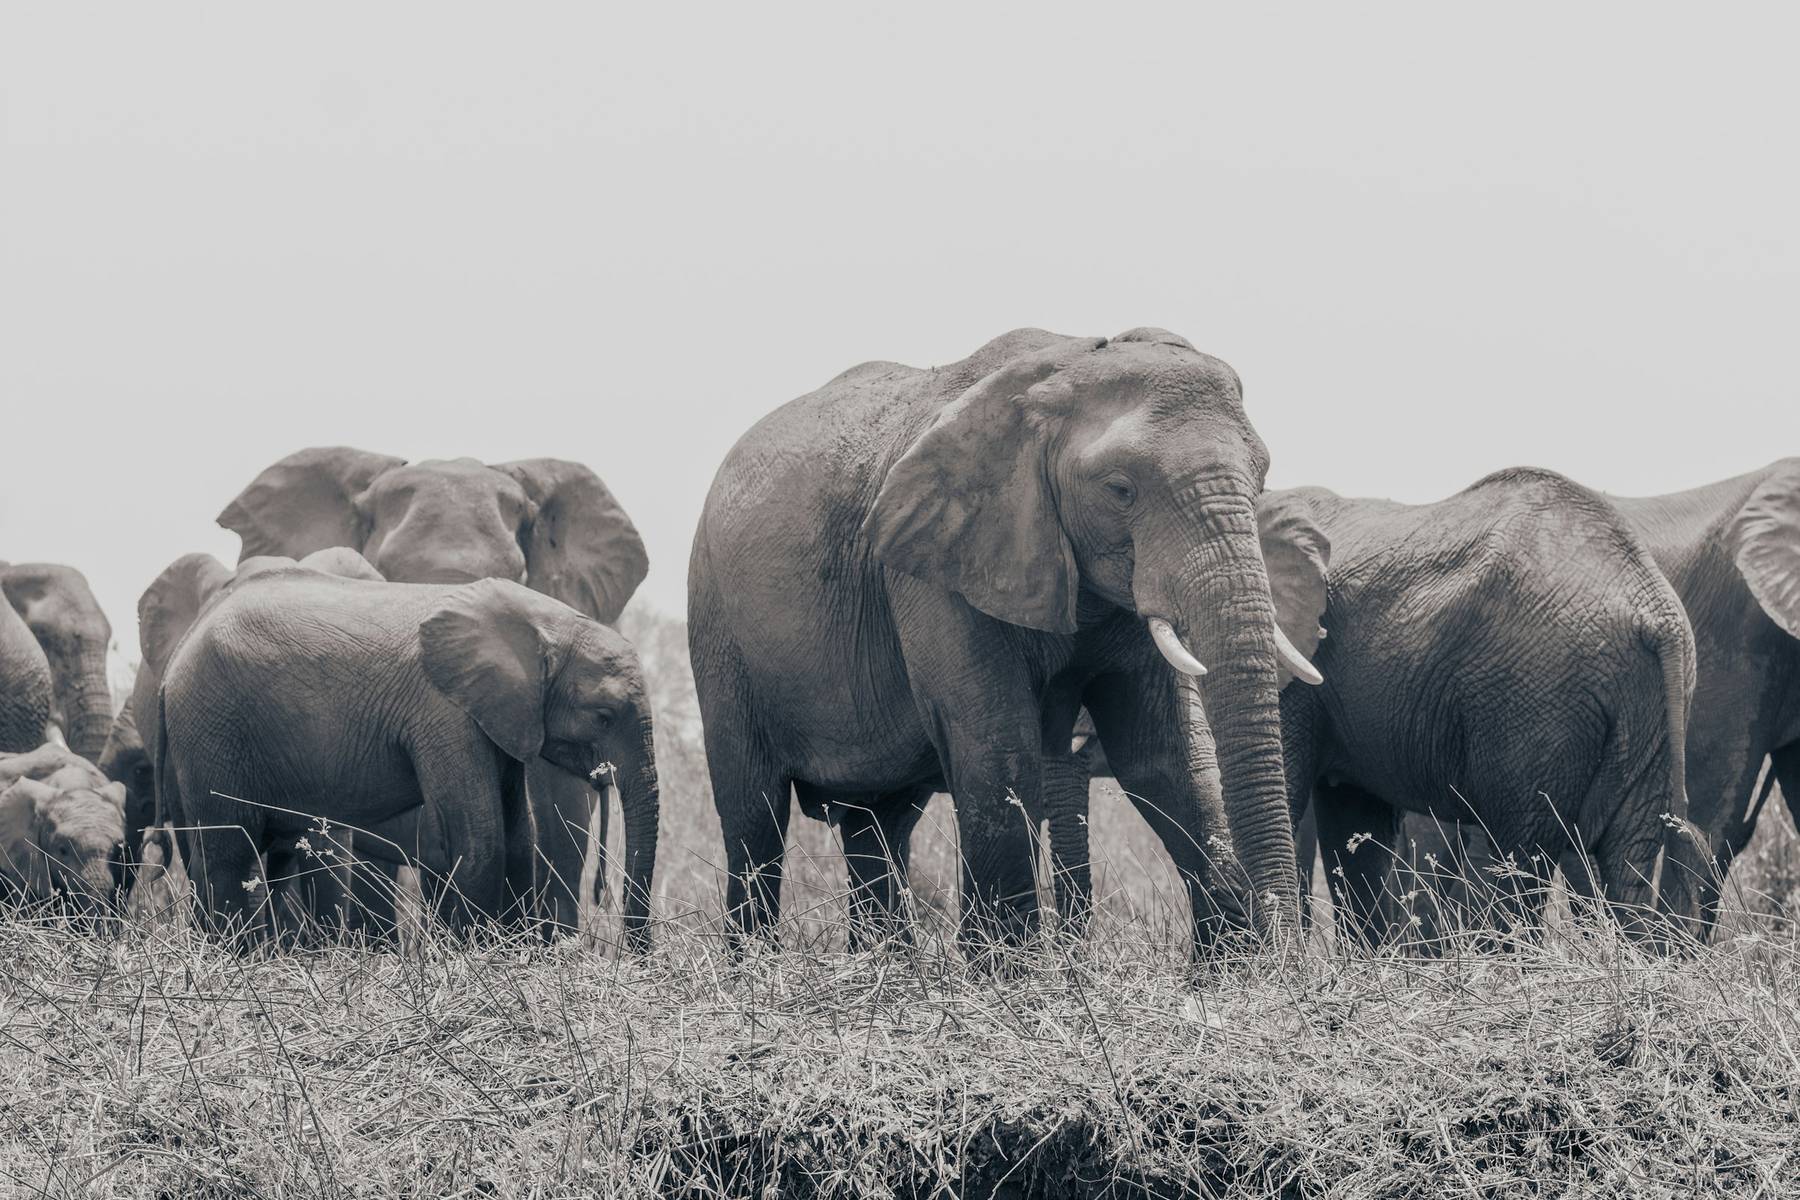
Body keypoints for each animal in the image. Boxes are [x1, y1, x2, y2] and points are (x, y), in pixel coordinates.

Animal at [157, 567, 659, 945]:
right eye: (603, 716)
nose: (635, 958)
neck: (546, 622)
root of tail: (174, 659)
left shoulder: (500, 715)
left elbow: (517, 836)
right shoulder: (443, 711)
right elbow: (481, 837)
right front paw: (477, 962)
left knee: (255, 856)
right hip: (213, 729)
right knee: (229, 854)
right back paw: (231, 959)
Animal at [689, 327, 1321, 956]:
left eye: (1261, 480)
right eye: (1120, 489)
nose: (1294, 955)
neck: (1060, 369)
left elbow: (1162, 756)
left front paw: (1238, 969)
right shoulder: (937, 563)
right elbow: (997, 745)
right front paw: (1009, 972)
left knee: (881, 822)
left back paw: (883, 968)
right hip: (717, 625)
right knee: (755, 815)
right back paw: (756, 964)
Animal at [1259, 468, 1698, 946]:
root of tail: (1656, 610)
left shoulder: (1302, 667)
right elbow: (1354, 820)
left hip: (1535, 701)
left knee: (1520, 860)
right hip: (1650, 710)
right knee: (1624, 862)